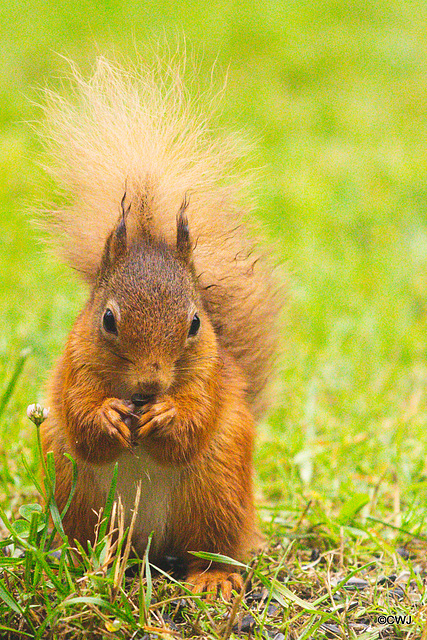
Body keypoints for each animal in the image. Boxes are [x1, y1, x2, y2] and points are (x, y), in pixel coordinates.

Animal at [38, 57, 282, 596]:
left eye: (195, 323)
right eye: (107, 319)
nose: (150, 385)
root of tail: (149, 544)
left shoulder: (211, 379)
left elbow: (193, 424)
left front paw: (168, 417)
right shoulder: (74, 365)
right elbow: (80, 419)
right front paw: (106, 417)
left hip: (216, 491)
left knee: (208, 547)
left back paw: (212, 578)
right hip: (76, 492)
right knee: (97, 540)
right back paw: (86, 566)